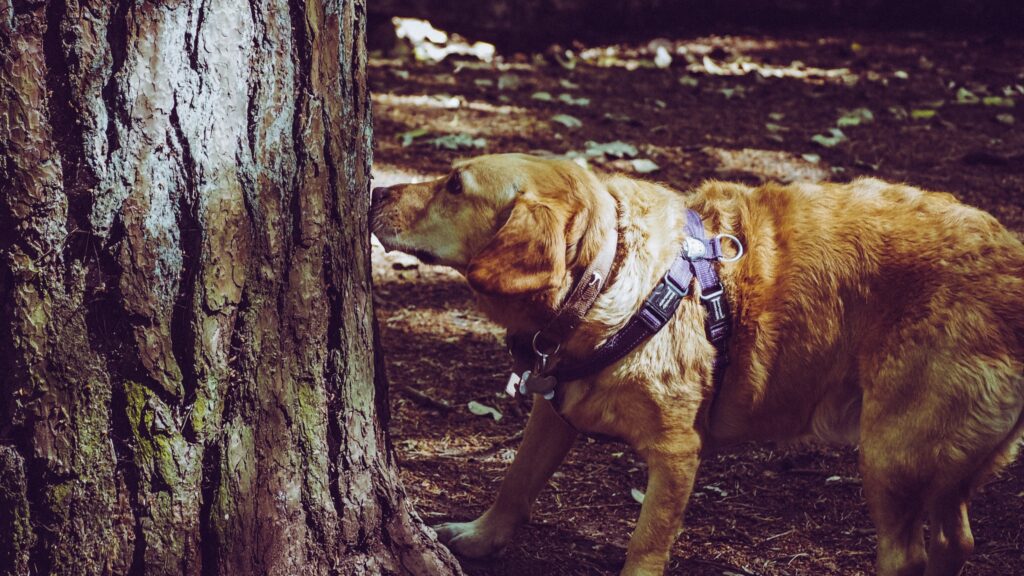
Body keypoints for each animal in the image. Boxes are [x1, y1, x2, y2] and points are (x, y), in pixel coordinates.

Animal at [370, 153, 1024, 573]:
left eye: (455, 186)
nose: (375, 190)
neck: (607, 274)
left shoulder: (678, 454)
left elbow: (644, 547)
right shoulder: (553, 413)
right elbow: (515, 483)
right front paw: (480, 539)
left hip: (891, 452)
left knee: (908, 553)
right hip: (940, 459)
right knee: (956, 542)